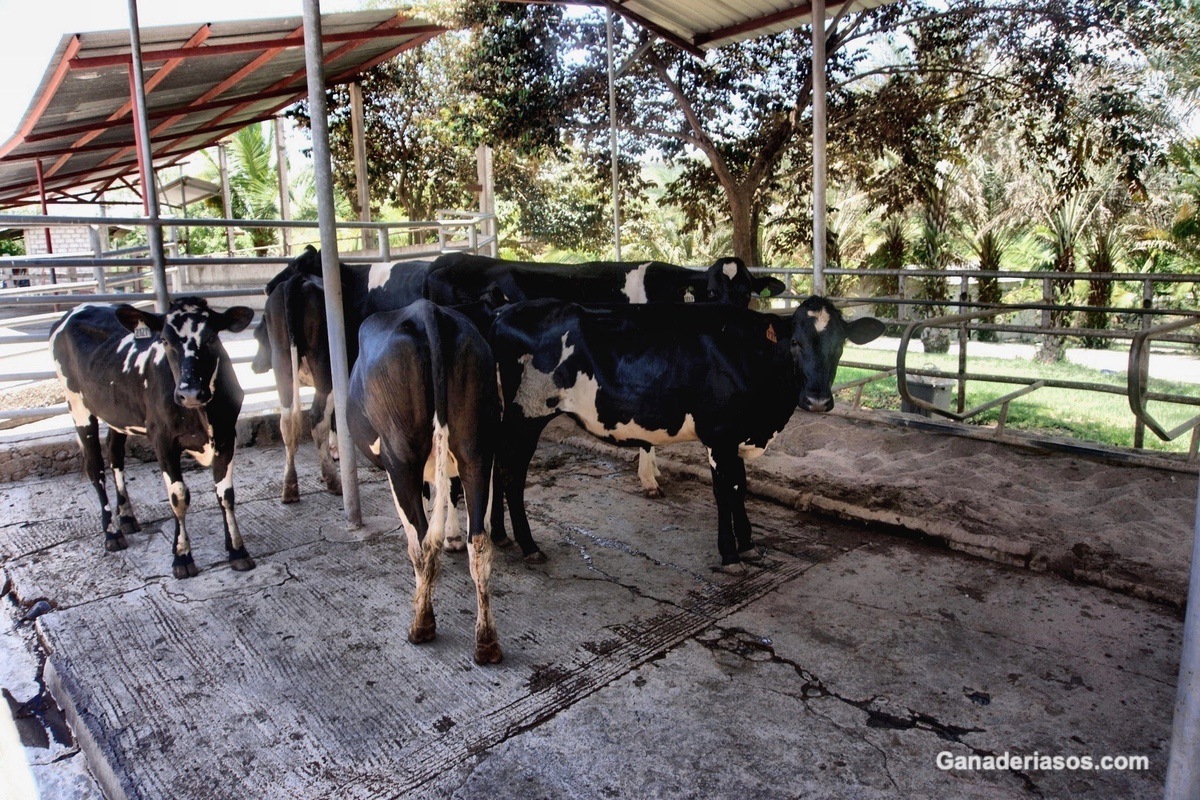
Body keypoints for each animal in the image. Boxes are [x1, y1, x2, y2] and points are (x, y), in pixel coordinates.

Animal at [50, 298, 256, 579]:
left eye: (212, 337)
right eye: (166, 340)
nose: (190, 393)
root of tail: (75, 309)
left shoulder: (226, 434)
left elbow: (225, 494)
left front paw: (237, 550)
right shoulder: (163, 440)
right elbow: (178, 497)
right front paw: (182, 556)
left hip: (118, 414)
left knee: (115, 456)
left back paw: (126, 517)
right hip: (78, 406)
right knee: (96, 469)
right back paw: (112, 533)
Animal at [346, 300, 502, 664]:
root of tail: (425, 311)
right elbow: (447, 494)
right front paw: (454, 536)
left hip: (400, 460)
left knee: (421, 543)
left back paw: (421, 625)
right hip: (478, 448)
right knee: (480, 542)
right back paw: (487, 643)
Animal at [488, 296, 885, 569]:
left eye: (840, 345)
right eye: (796, 342)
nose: (817, 400)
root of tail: (503, 312)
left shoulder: (738, 437)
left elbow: (742, 487)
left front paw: (748, 545)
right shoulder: (720, 436)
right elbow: (725, 492)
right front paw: (730, 555)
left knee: (494, 465)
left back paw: (499, 537)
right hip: (527, 414)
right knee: (510, 473)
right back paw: (528, 545)